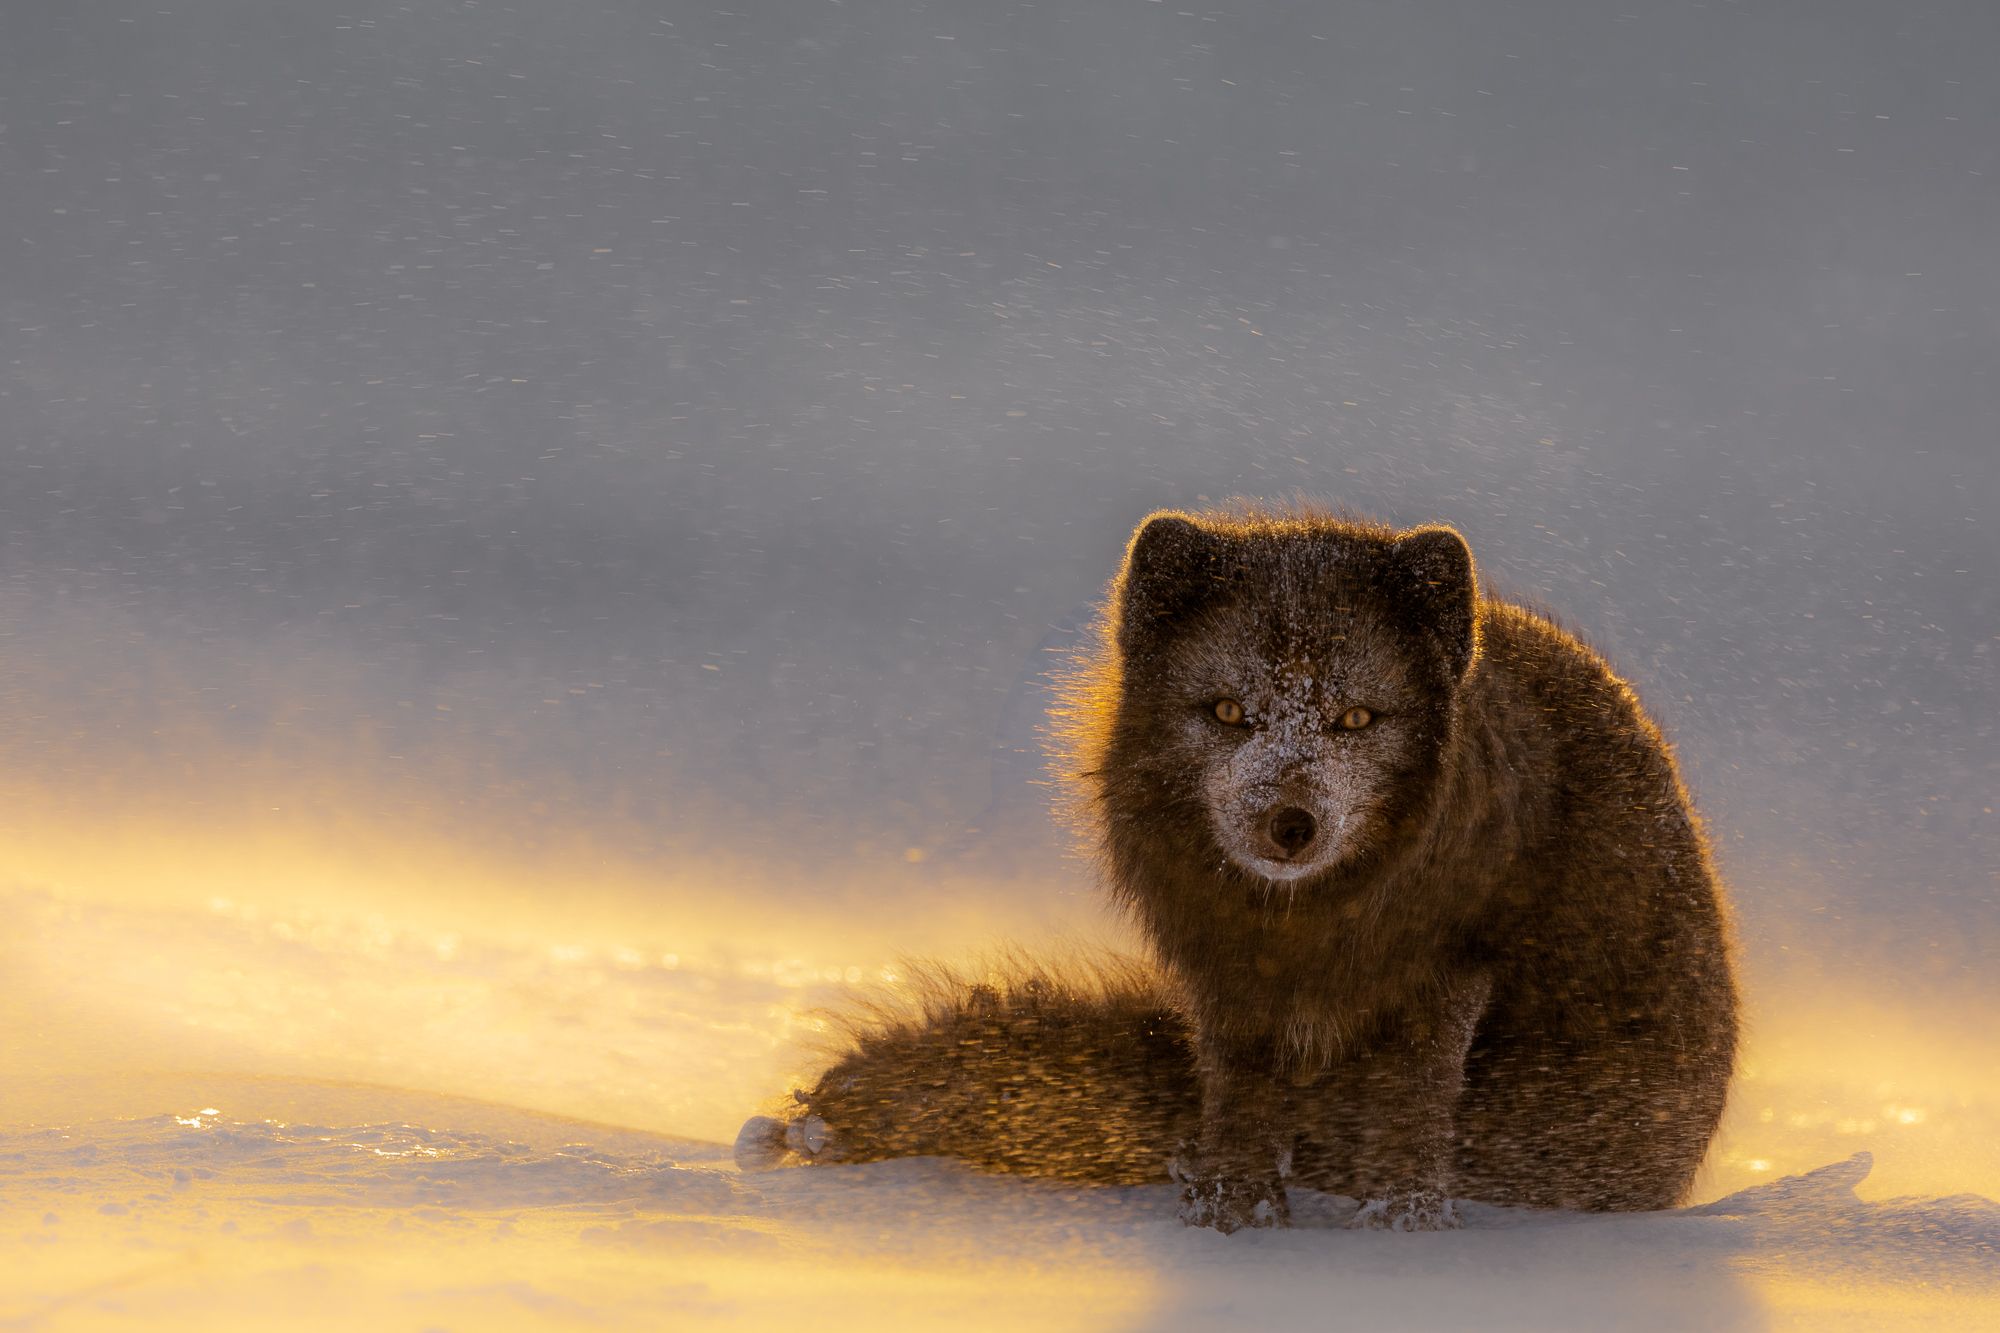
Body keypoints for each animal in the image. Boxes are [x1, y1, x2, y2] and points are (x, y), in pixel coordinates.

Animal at [738, 504, 1739, 1231]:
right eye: (1227, 712)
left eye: (1354, 719)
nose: (1289, 822)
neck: (1304, 930)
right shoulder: (1221, 977)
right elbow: (1238, 1092)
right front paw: (1232, 1205)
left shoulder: (1446, 974)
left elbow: (1415, 1100)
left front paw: (1405, 1219)